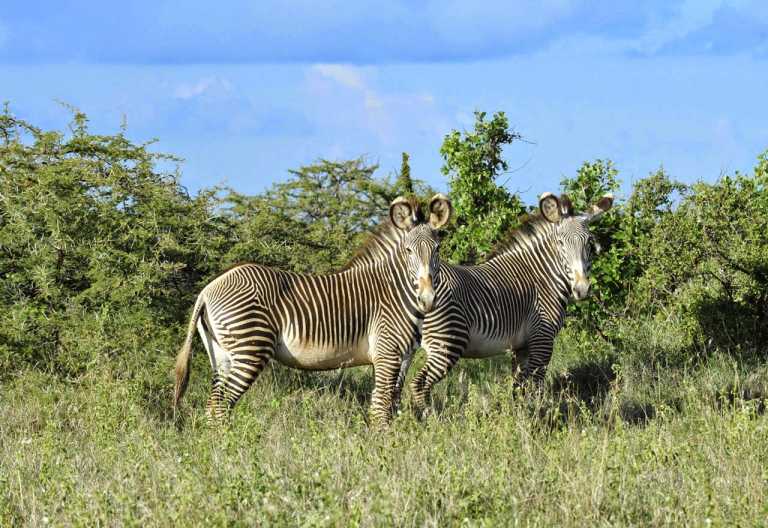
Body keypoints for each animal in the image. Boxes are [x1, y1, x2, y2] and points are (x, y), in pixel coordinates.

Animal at [173, 194, 453, 426]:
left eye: (437, 249)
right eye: (408, 251)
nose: (427, 299)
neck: (395, 289)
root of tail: (208, 289)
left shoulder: (403, 357)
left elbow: (391, 402)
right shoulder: (387, 353)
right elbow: (381, 406)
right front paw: (384, 445)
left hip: (221, 353)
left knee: (212, 406)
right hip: (249, 348)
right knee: (221, 405)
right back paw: (229, 449)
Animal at [409, 192, 613, 413]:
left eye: (589, 243)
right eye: (560, 243)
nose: (582, 289)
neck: (542, 275)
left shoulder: (521, 346)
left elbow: (519, 388)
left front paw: (520, 415)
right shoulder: (543, 337)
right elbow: (536, 385)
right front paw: (539, 415)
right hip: (446, 343)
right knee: (419, 384)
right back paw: (429, 418)